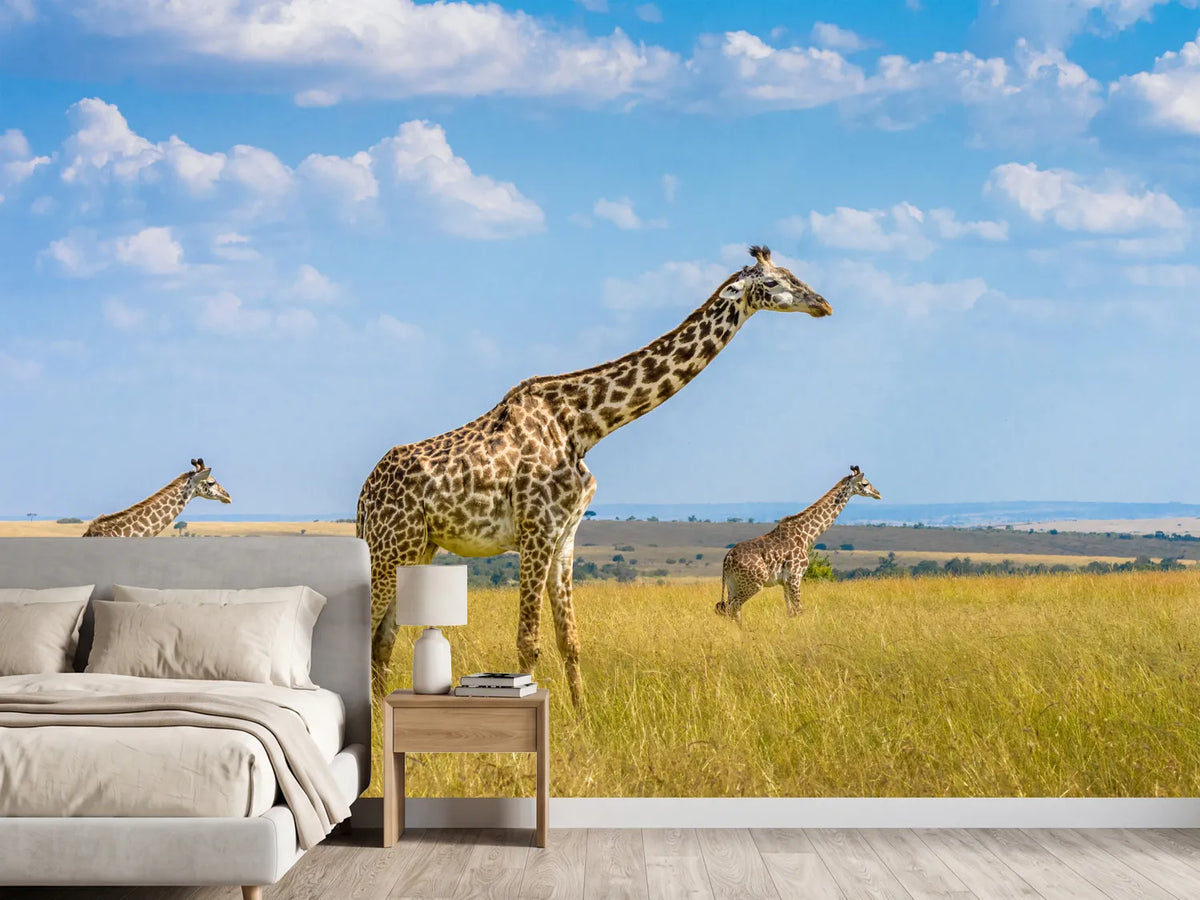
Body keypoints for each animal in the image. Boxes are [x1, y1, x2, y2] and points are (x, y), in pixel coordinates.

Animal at [358, 245, 833, 704]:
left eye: (793, 273)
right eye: (772, 282)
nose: (823, 304)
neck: (583, 425)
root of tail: (363, 497)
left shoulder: (564, 536)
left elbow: (570, 640)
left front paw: (582, 716)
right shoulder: (536, 530)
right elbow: (527, 642)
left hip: (419, 548)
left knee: (383, 637)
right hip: (389, 547)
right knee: (368, 631)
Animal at [716, 465, 881, 622]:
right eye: (865, 483)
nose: (878, 493)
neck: (806, 535)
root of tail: (727, 559)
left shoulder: (785, 581)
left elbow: (791, 612)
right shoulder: (795, 576)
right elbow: (799, 610)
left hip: (733, 583)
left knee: (731, 610)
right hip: (754, 583)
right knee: (733, 608)